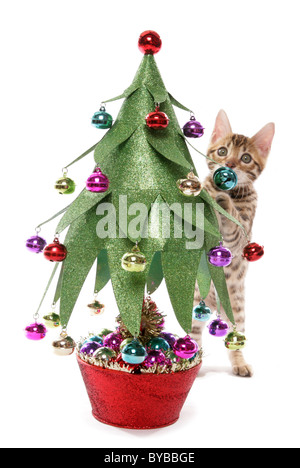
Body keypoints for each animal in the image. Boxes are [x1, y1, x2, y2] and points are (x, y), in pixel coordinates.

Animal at [192, 109, 274, 376]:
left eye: (246, 158)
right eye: (222, 151)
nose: (228, 166)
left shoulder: (241, 236)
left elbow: (233, 223)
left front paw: (224, 202)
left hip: (237, 308)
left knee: (235, 339)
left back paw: (239, 363)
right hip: (195, 304)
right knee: (193, 334)